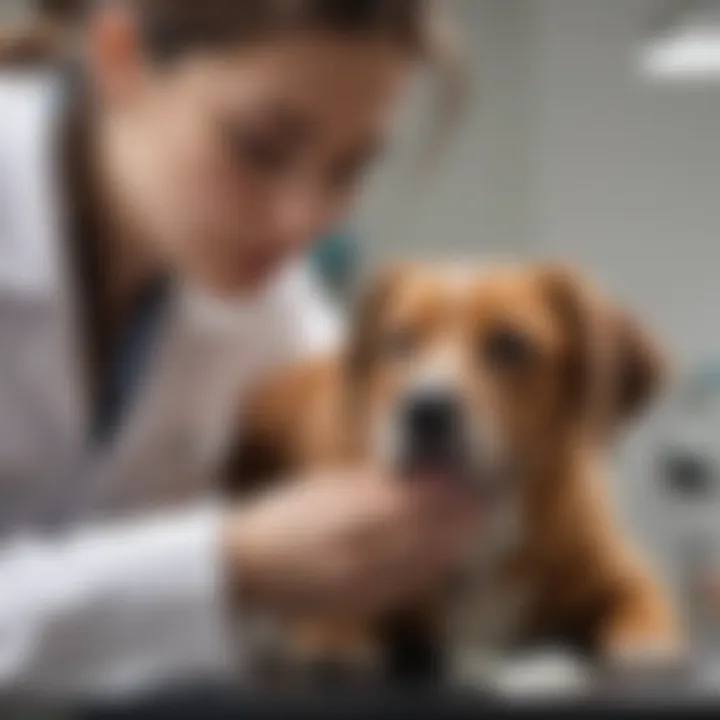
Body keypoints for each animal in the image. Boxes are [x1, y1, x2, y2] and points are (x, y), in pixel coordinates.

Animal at [228, 262, 684, 688]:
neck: (486, 521)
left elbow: (645, 623)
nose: (425, 411)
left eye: (510, 344)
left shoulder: (628, 578)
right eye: (398, 341)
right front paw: (333, 639)